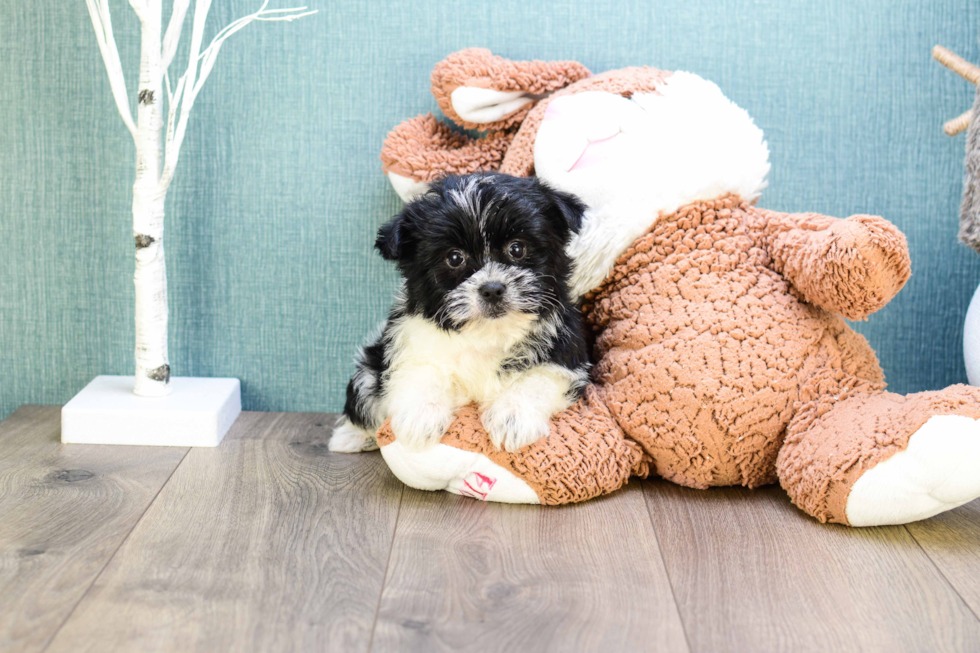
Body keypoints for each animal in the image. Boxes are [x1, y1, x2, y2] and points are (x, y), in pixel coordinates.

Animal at [330, 173, 588, 454]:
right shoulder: (412, 343)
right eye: (454, 258)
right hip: (368, 369)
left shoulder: (565, 353)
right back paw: (352, 436)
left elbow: (539, 379)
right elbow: (422, 370)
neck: (487, 335)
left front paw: (513, 416)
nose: (492, 289)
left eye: (517, 249)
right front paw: (421, 416)